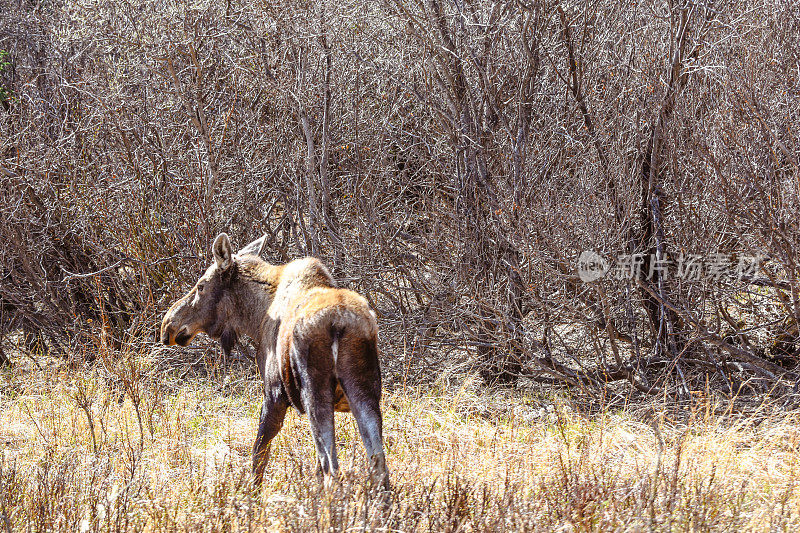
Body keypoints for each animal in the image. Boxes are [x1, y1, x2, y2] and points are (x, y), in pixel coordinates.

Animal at [159, 233, 388, 486]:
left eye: (201, 286)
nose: (168, 325)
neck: (256, 316)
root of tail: (339, 323)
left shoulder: (274, 394)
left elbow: (259, 455)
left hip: (316, 395)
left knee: (332, 467)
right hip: (365, 393)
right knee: (378, 463)